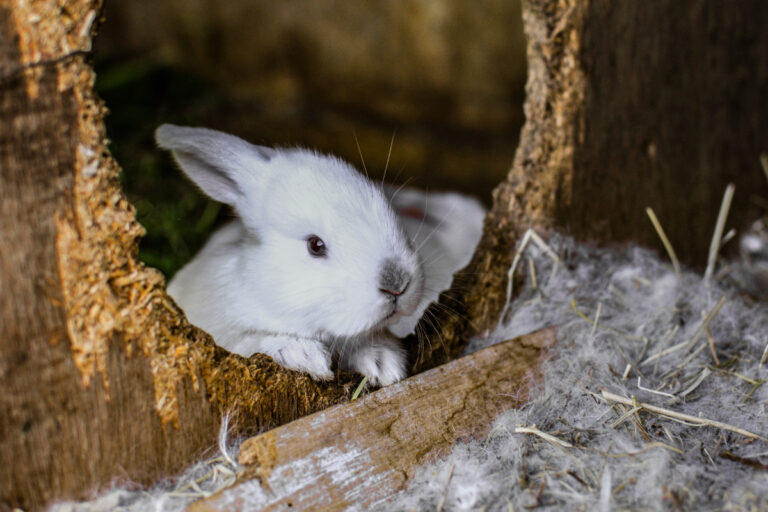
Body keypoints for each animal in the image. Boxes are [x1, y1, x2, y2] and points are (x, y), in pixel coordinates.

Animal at [156, 124, 485, 386]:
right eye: (315, 245)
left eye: (388, 209)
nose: (398, 284)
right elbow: (251, 341)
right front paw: (306, 357)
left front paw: (383, 365)